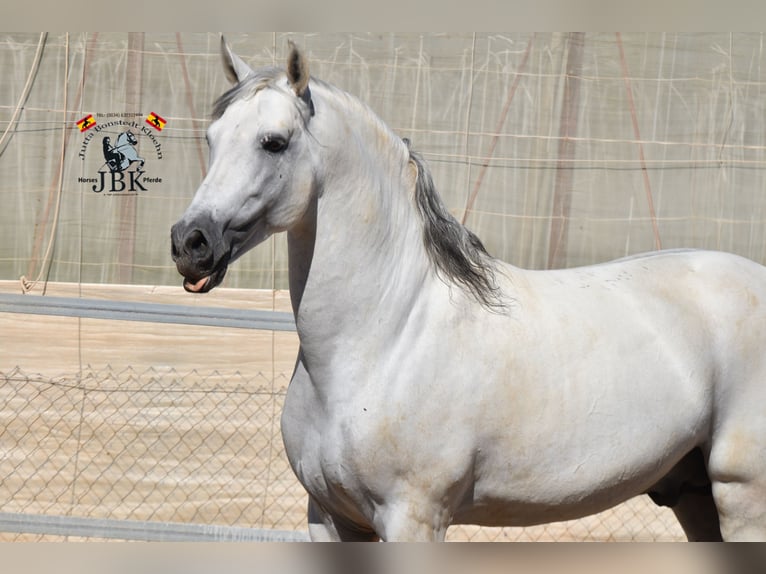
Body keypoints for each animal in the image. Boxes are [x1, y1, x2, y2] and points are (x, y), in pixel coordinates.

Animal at [171, 37, 766, 541]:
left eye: (274, 142)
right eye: (212, 138)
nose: (190, 242)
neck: (385, 339)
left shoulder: (413, 519)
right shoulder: (331, 520)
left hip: (742, 498)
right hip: (695, 497)